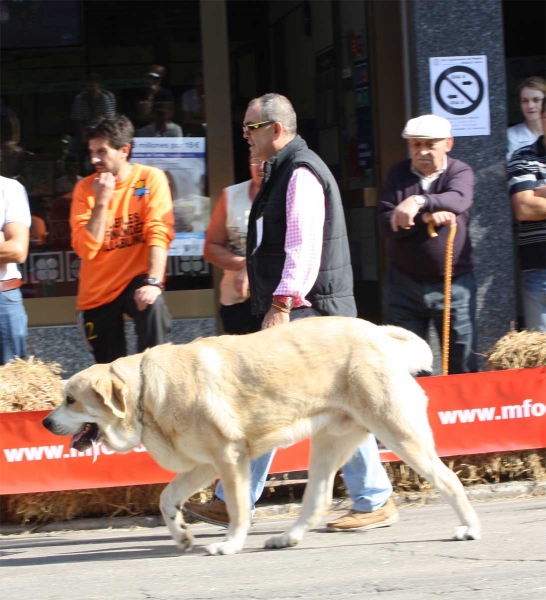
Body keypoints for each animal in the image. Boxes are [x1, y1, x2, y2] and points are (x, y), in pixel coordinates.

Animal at [42, 316, 478, 556]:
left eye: (70, 400)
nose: (45, 423)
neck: (145, 392)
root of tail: (379, 334)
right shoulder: (205, 465)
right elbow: (167, 499)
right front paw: (181, 536)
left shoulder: (230, 457)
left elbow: (238, 508)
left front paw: (230, 544)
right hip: (328, 445)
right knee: (317, 499)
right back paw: (287, 538)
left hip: (401, 432)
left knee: (449, 480)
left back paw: (469, 528)